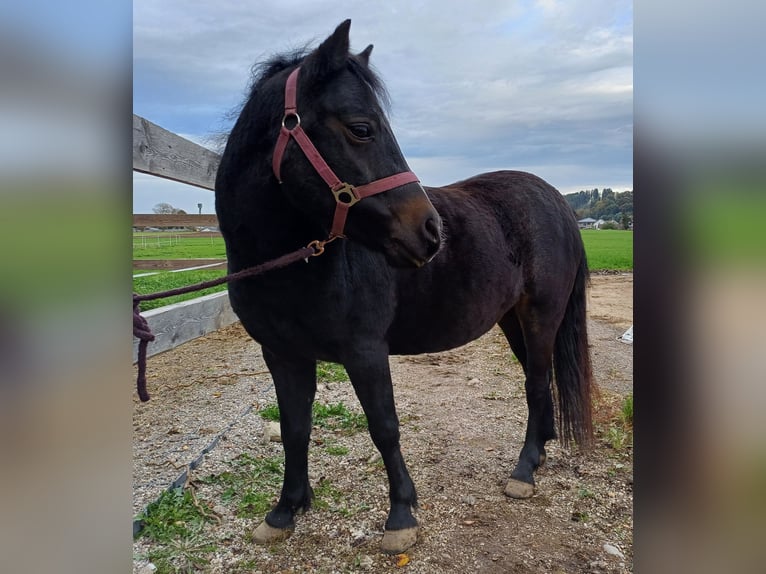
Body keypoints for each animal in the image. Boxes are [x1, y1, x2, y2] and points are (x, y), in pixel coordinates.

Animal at [214, 20, 592, 556]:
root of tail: (558, 202)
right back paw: (539, 453)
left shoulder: (365, 351)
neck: (294, 264)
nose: (432, 233)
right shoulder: (283, 355)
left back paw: (523, 471)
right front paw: (285, 509)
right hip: (514, 322)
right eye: (361, 128)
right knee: (539, 386)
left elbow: (384, 428)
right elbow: (294, 429)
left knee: (537, 383)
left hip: (541, 317)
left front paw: (400, 516)